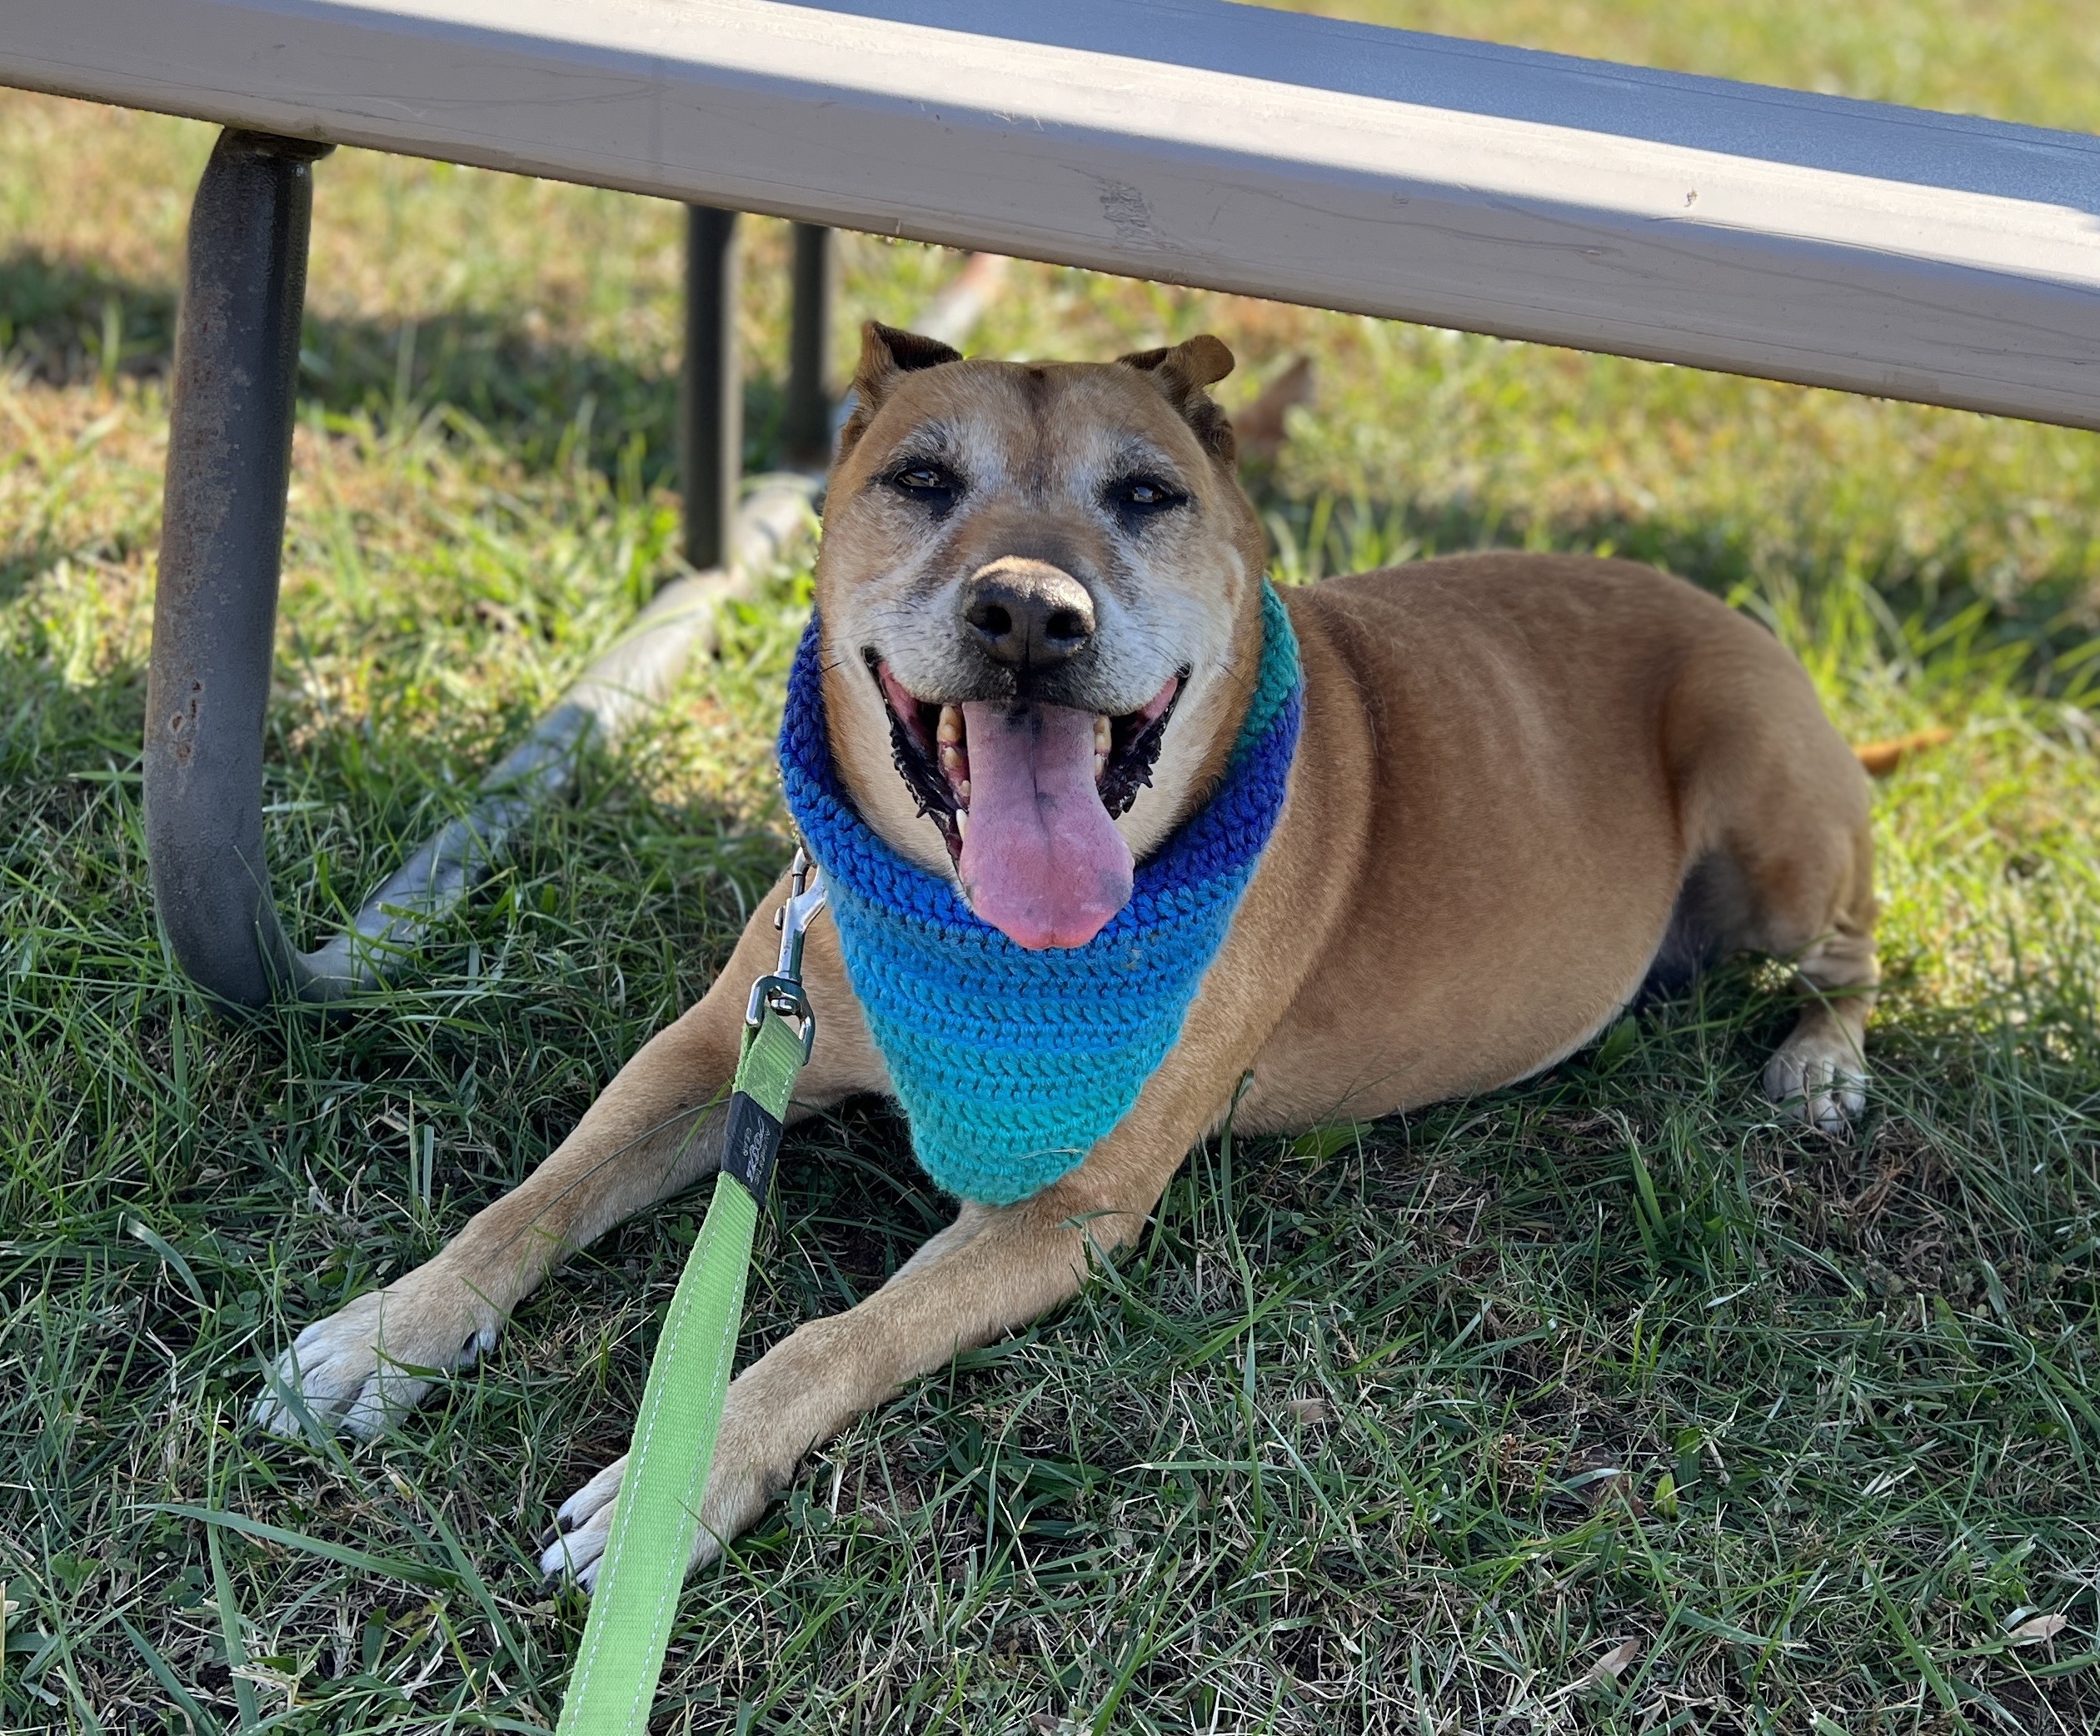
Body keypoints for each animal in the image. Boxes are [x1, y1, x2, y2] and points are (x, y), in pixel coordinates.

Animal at [254, 319, 1881, 1579]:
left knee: (1854, 940)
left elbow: (834, 1336)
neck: (974, 934)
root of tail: (1720, 606)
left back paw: (1821, 1063)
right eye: (919, 478)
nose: (1029, 612)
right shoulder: (721, 1046)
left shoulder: (1064, 1211)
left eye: (1147, 494)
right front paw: (386, 1337)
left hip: (1774, 814)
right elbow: (533, 1196)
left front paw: (681, 1478)